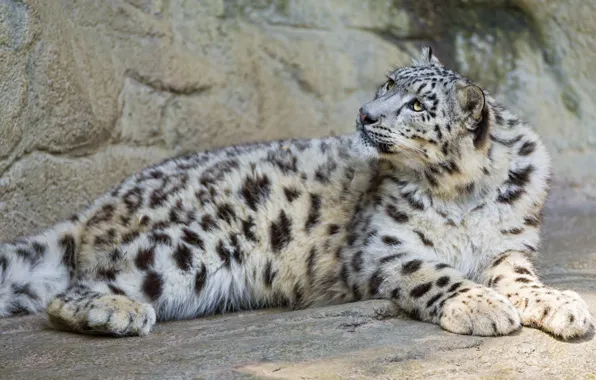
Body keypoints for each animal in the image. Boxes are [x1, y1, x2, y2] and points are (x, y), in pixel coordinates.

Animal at [0, 46, 592, 340]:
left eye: (419, 105)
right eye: (388, 83)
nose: (366, 114)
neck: (460, 194)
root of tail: (96, 206)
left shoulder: (508, 247)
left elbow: (522, 282)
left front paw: (564, 307)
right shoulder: (382, 246)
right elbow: (433, 274)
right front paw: (481, 307)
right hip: (194, 246)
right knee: (72, 291)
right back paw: (118, 314)